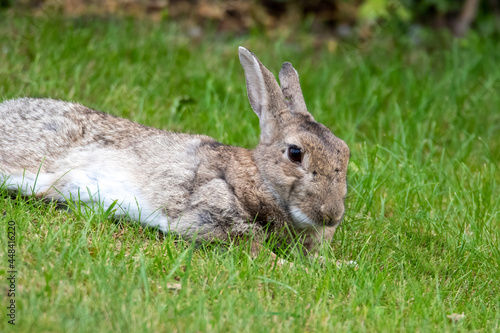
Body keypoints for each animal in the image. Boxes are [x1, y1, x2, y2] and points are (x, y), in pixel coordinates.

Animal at [0, 46, 350, 254]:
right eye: (295, 153)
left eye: (345, 153)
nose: (332, 215)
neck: (260, 180)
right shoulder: (210, 212)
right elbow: (253, 242)